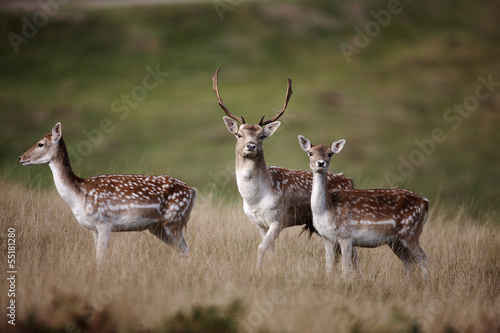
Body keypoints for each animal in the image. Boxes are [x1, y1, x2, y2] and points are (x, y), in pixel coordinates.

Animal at [19, 122, 195, 262]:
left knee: (186, 248)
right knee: (182, 250)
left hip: (174, 219)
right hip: (157, 227)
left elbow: (100, 256)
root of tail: (193, 191)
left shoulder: (105, 221)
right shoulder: (93, 228)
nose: (21, 157)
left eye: (40, 144)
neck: (78, 194)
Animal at [213, 67, 358, 268]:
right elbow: (270, 250)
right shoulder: (259, 223)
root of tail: (350, 180)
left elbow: (261, 248)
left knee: (354, 253)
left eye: (261, 136)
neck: (255, 199)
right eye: (239, 135)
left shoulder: (278, 219)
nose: (251, 146)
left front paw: (257, 269)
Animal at [298, 135, 428, 278]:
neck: (325, 210)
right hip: (395, 240)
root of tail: (425, 202)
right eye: (311, 153)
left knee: (423, 258)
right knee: (409, 263)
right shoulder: (327, 238)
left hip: (410, 232)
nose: (320, 163)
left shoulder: (346, 235)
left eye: (330, 154)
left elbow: (345, 269)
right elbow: (329, 267)